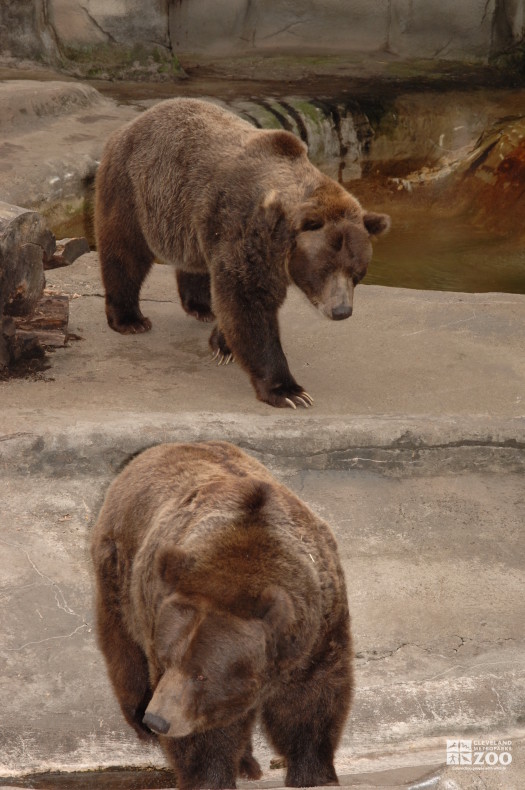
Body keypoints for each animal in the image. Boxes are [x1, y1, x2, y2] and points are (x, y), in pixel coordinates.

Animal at [91, 442, 352, 788]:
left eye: (202, 674)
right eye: (165, 660)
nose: (158, 719)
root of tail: (155, 450)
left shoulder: (318, 634)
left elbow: (311, 702)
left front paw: (314, 772)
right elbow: (206, 732)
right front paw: (210, 777)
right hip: (121, 573)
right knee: (124, 647)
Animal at [95, 97, 388, 408]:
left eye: (358, 272)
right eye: (323, 270)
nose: (342, 310)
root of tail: (129, 125)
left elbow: (234, 301)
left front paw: (222, 344)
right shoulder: (244, 229)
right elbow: (247, 303)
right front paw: (289, 391)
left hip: (186, 219)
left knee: (194, 261)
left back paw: (201, 307)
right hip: (133, 188)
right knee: (125, 251)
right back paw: (130, 319)